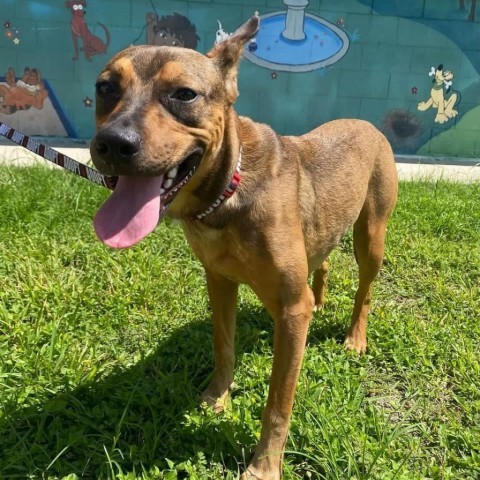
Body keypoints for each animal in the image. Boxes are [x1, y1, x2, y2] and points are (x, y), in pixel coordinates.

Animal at [89, 15, 398, 480]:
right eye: (105, 87)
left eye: (184, 94)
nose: (112, 143)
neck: (226, 195)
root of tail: (366, 122)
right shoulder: (218, 280)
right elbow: (224, 347)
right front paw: (216, 398)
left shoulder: (290, 310)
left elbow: (278, 403)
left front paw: (265, 465)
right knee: (323, 261)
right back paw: (321, 299)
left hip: (372, 235)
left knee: (364, 290)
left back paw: (355, 338)